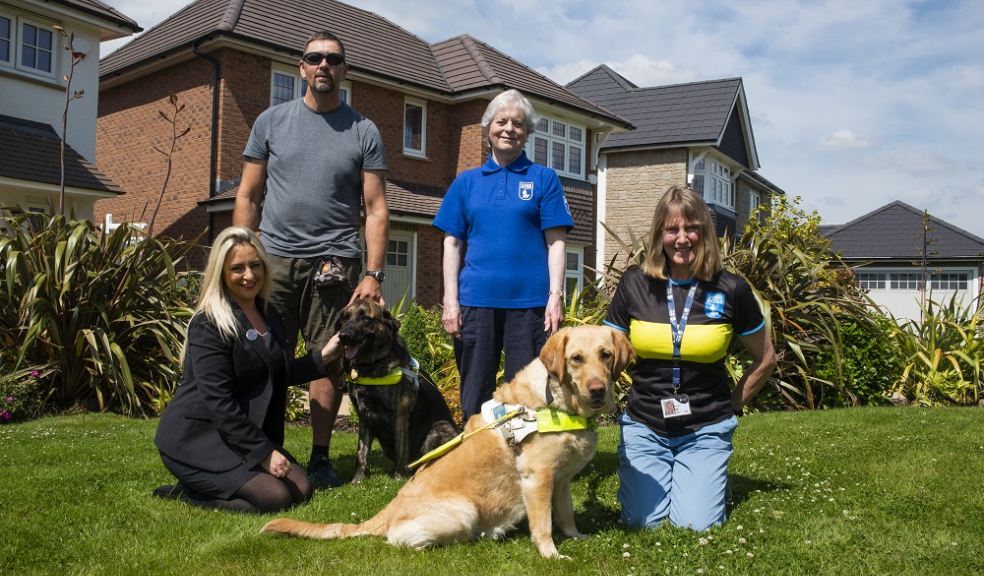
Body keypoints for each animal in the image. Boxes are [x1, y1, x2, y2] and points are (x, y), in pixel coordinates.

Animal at [336, 296, 460, 482]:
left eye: (365, 318)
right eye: (345, 318)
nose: (342, 336)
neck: (372, 365)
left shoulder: (400, 415)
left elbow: (401, 449)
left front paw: (398, 477)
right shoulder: (364, 417)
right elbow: (361, 454)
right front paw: (357, 480)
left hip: (438, 428)